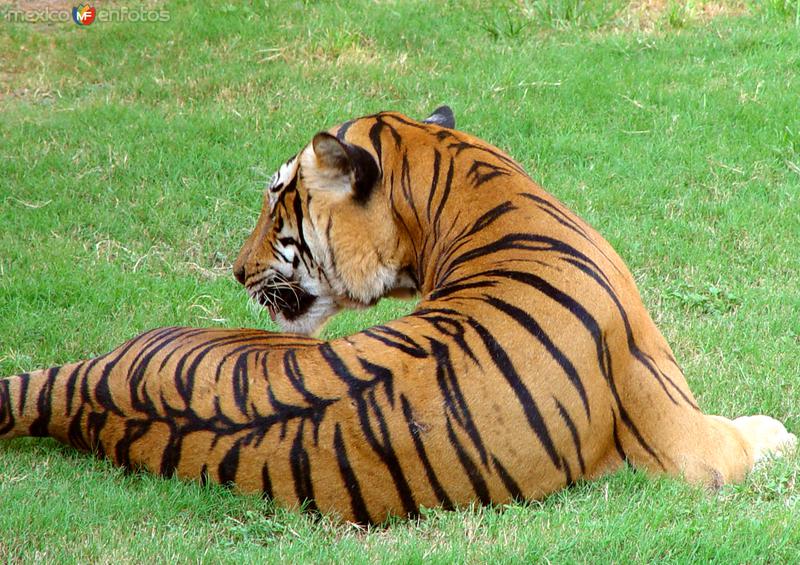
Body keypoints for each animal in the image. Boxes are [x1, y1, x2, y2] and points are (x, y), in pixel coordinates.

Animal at [0, 104, 796, 520]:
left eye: (274, 203)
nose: (234, 269)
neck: (466, 187)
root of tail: (90, 381)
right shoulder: (690, 441)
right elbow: (755, 432)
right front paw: (779, 431)